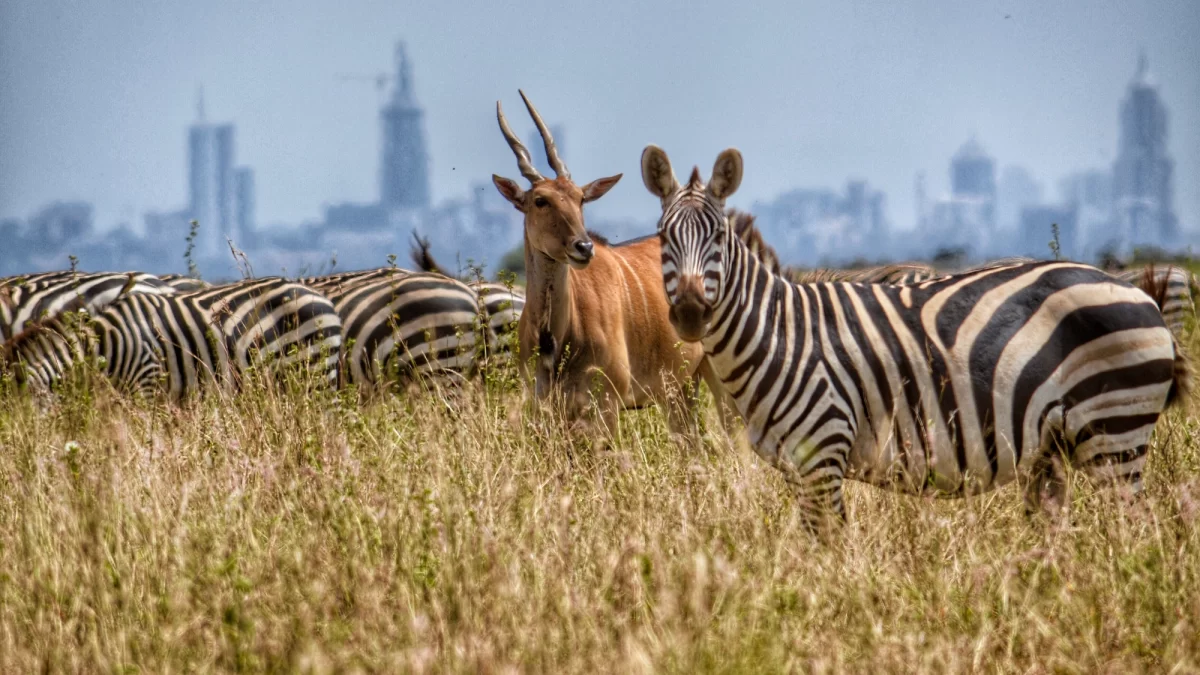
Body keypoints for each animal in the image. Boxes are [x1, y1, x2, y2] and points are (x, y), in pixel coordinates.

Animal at [641, 145, 1191, 529]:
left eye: (718, 237)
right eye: (663, 237)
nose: (689, 313)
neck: (778, 332)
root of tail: (1137, 291)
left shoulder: (822, 454)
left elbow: (827, 549)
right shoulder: (802, 466)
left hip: (1115, 431)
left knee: (1135, 533)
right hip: (1057, 446)